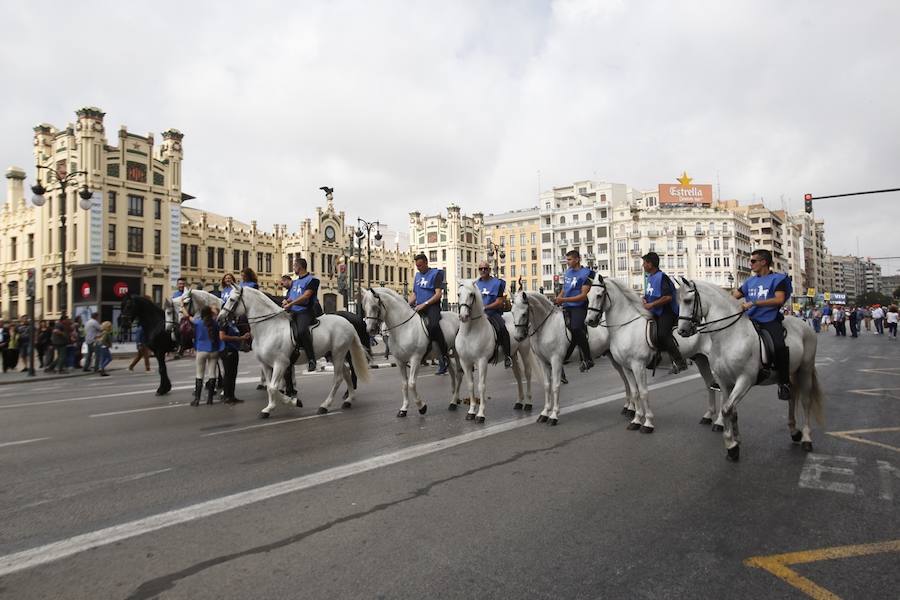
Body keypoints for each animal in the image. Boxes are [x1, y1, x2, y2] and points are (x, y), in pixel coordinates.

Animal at [217, 284, 370, 418]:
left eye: (232, 299)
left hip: (339, 353)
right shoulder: (265, 364)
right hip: (332, 354)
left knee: (338, 378)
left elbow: (273, 387)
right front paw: (269, 408)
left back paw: (325, 405)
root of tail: (348, 322)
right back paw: (349, 399)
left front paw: (293, 402)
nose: (219, 319)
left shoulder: (281, 363)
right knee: (346, 373)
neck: (269, 327)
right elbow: (270, 387)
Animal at [358, 290, 460, 420]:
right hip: (444, 352)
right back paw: (454, 398)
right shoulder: (400, 361)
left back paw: (454, 402)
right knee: (452, 371)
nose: (370, 330)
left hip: (456, 353)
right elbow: (404, 384)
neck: (404, 328)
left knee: (459, 374)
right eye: (364, 307)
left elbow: (411, 384)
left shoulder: (415, 359)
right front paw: (404, 409)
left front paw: (421, 407)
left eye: (375, 306)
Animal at [454, 280, 532, 422]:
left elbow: (481, 386)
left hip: (524, 350)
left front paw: (480, 414)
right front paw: (471, 411)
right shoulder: (465, 362)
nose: (463, 316)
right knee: (518, 376)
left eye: (471, 294)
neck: (469, 332)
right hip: (513, 354)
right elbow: (470, 385)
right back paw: (519, 402)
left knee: (527, 374)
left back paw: (528, 403)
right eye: (458, 294)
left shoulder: (482, 361)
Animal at [676, 276, 824, 460]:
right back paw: (794, 431)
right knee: (792, 396)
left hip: (805, 369)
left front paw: (731, 445)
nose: (681, 331)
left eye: (688, 301)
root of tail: (804, 325)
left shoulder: (745, 380)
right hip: (788, 372)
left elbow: (726, 409)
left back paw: (806, 438)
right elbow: (731, 410)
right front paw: (736, 441)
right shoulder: (724, 381)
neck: (730, 336)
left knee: (805, 401)